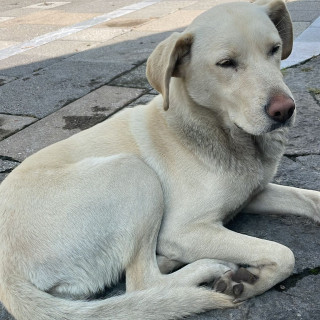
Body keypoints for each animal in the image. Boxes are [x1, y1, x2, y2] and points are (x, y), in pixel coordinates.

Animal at [0, 0, 320, 320]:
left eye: (274, 49)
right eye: (226, 63)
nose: (285, 110)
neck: (221, 133)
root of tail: (8, 276)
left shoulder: (254, 193)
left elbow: (309, 198)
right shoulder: (182, 230)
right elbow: (284, 253)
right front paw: (250, 282)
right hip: (134, 172)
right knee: (142, 283)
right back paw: (206, 267)